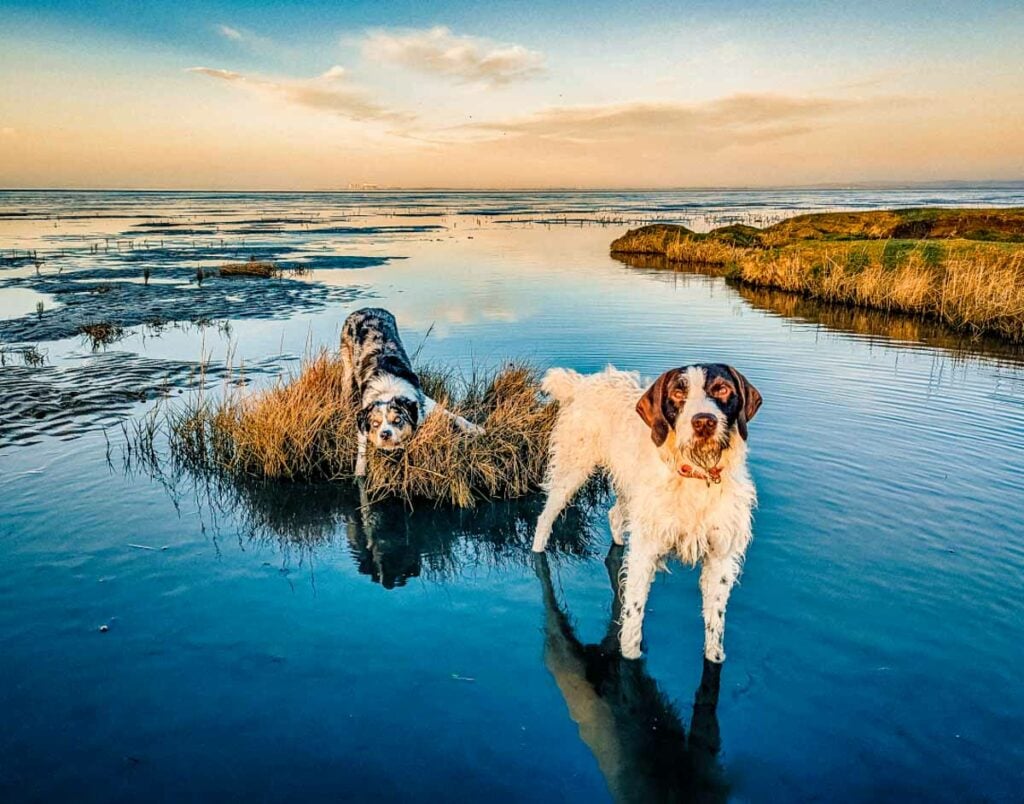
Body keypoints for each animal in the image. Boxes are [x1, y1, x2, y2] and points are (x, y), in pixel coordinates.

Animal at [536, 364, 761, 659]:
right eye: (678, 392)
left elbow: (715, 628)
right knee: (544, 518)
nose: (704, 422)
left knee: (614, 516)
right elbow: (633, 619)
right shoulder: (646, 550)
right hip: (572, 470)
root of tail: (582, 382)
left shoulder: (720, 558)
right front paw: (631, 655)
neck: (695, 476)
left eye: (722, 389)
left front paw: (714, 655)